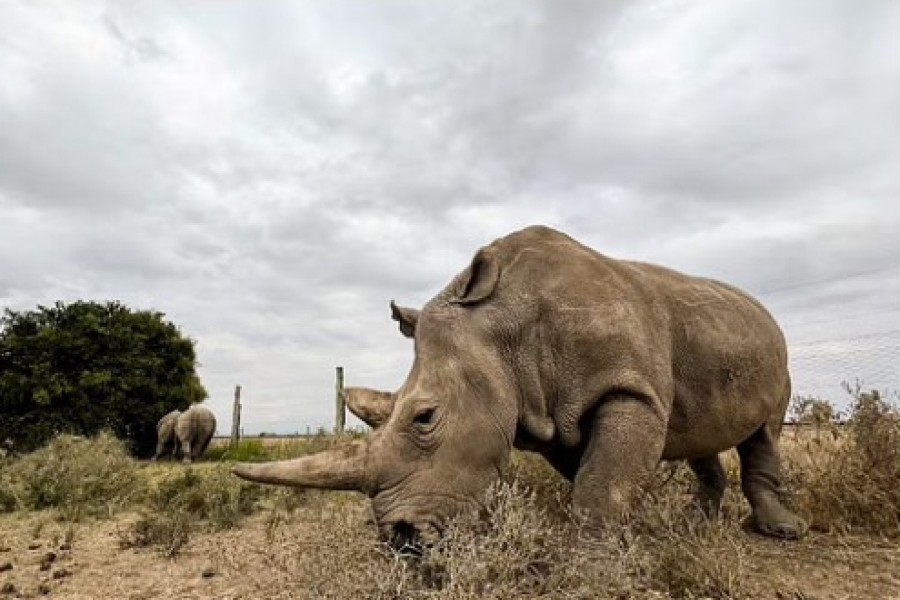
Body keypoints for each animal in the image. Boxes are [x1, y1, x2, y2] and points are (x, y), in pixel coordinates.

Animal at [233, 225, 807, 548]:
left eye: (424, 418)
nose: (402, 541)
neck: (505, 327)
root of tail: (763, 310)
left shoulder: (627, 390)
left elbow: (600, 485)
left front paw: (595, 567)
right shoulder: (551, 416)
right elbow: (594, 479)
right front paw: (634, 534)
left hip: (776, 350)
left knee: (766, 431)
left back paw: (782, 533)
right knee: (695, 431)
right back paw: (696, 525)